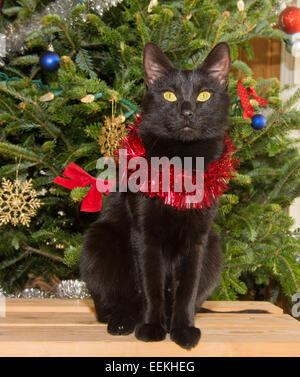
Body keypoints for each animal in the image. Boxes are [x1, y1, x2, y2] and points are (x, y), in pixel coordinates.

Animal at [79, 41, 230, 350]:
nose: (187, 112)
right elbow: (151, 285)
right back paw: (123, 322)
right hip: (97, 241)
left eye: (204, 95)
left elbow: (187, 289)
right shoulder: (144, 233)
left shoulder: (199, 238)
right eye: (170, 95)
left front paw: (183, 330)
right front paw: (151, 328)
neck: (182, 162)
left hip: (214, 248)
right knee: (110, 304)